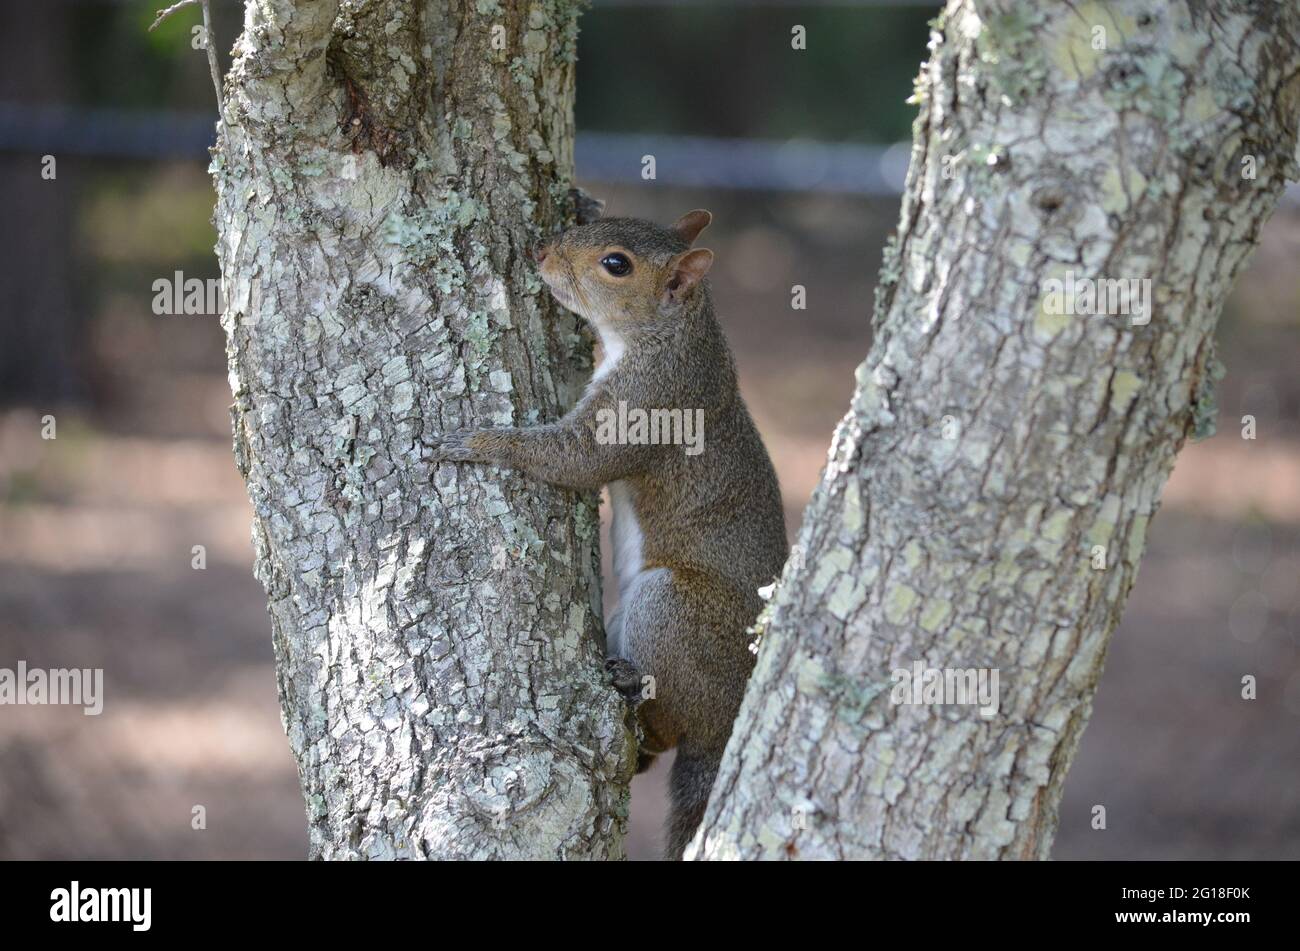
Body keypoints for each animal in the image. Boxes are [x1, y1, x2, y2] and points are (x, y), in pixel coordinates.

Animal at [431, 207, 785, 862]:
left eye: (615, 264)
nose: (542, 252)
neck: (673, 334)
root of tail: (728, 724)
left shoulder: (646, 403)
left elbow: (578, 459)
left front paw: (480, 443)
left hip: (671, 609)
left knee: (672, 724)